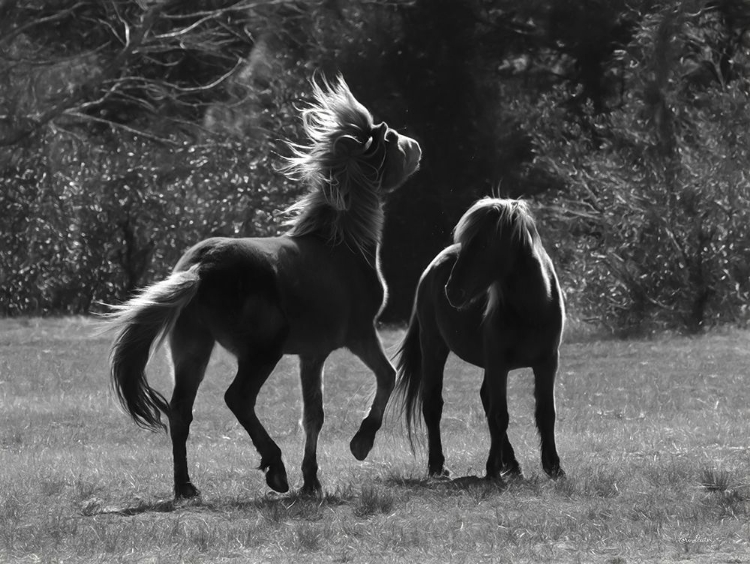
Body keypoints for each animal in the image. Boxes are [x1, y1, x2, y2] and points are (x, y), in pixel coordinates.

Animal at [106, 76, 424, 498]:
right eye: (391, 140)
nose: (416, 146)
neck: (341, 243)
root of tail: (202, 267)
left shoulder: (312, 354)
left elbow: (313, 415)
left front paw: (312, 480)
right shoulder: (360, 335)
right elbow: (387, 376)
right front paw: (361, 442)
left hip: (193, 350)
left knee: (180, 412)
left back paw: (186, 486)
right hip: (261, 352)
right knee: (237, 398)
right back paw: (274, 468)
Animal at [396, 197, 568, 480]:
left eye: (485, 244)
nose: (452, 291)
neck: (531, 310)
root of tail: (431, 269)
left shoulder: (547, 364)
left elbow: (546, 414)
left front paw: (553, 466)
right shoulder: (499, 365)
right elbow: (499, 416)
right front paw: (492, 469)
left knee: (485, 398)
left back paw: (513, 464)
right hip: (434, 348)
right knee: (433, 403)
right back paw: (437, 465)